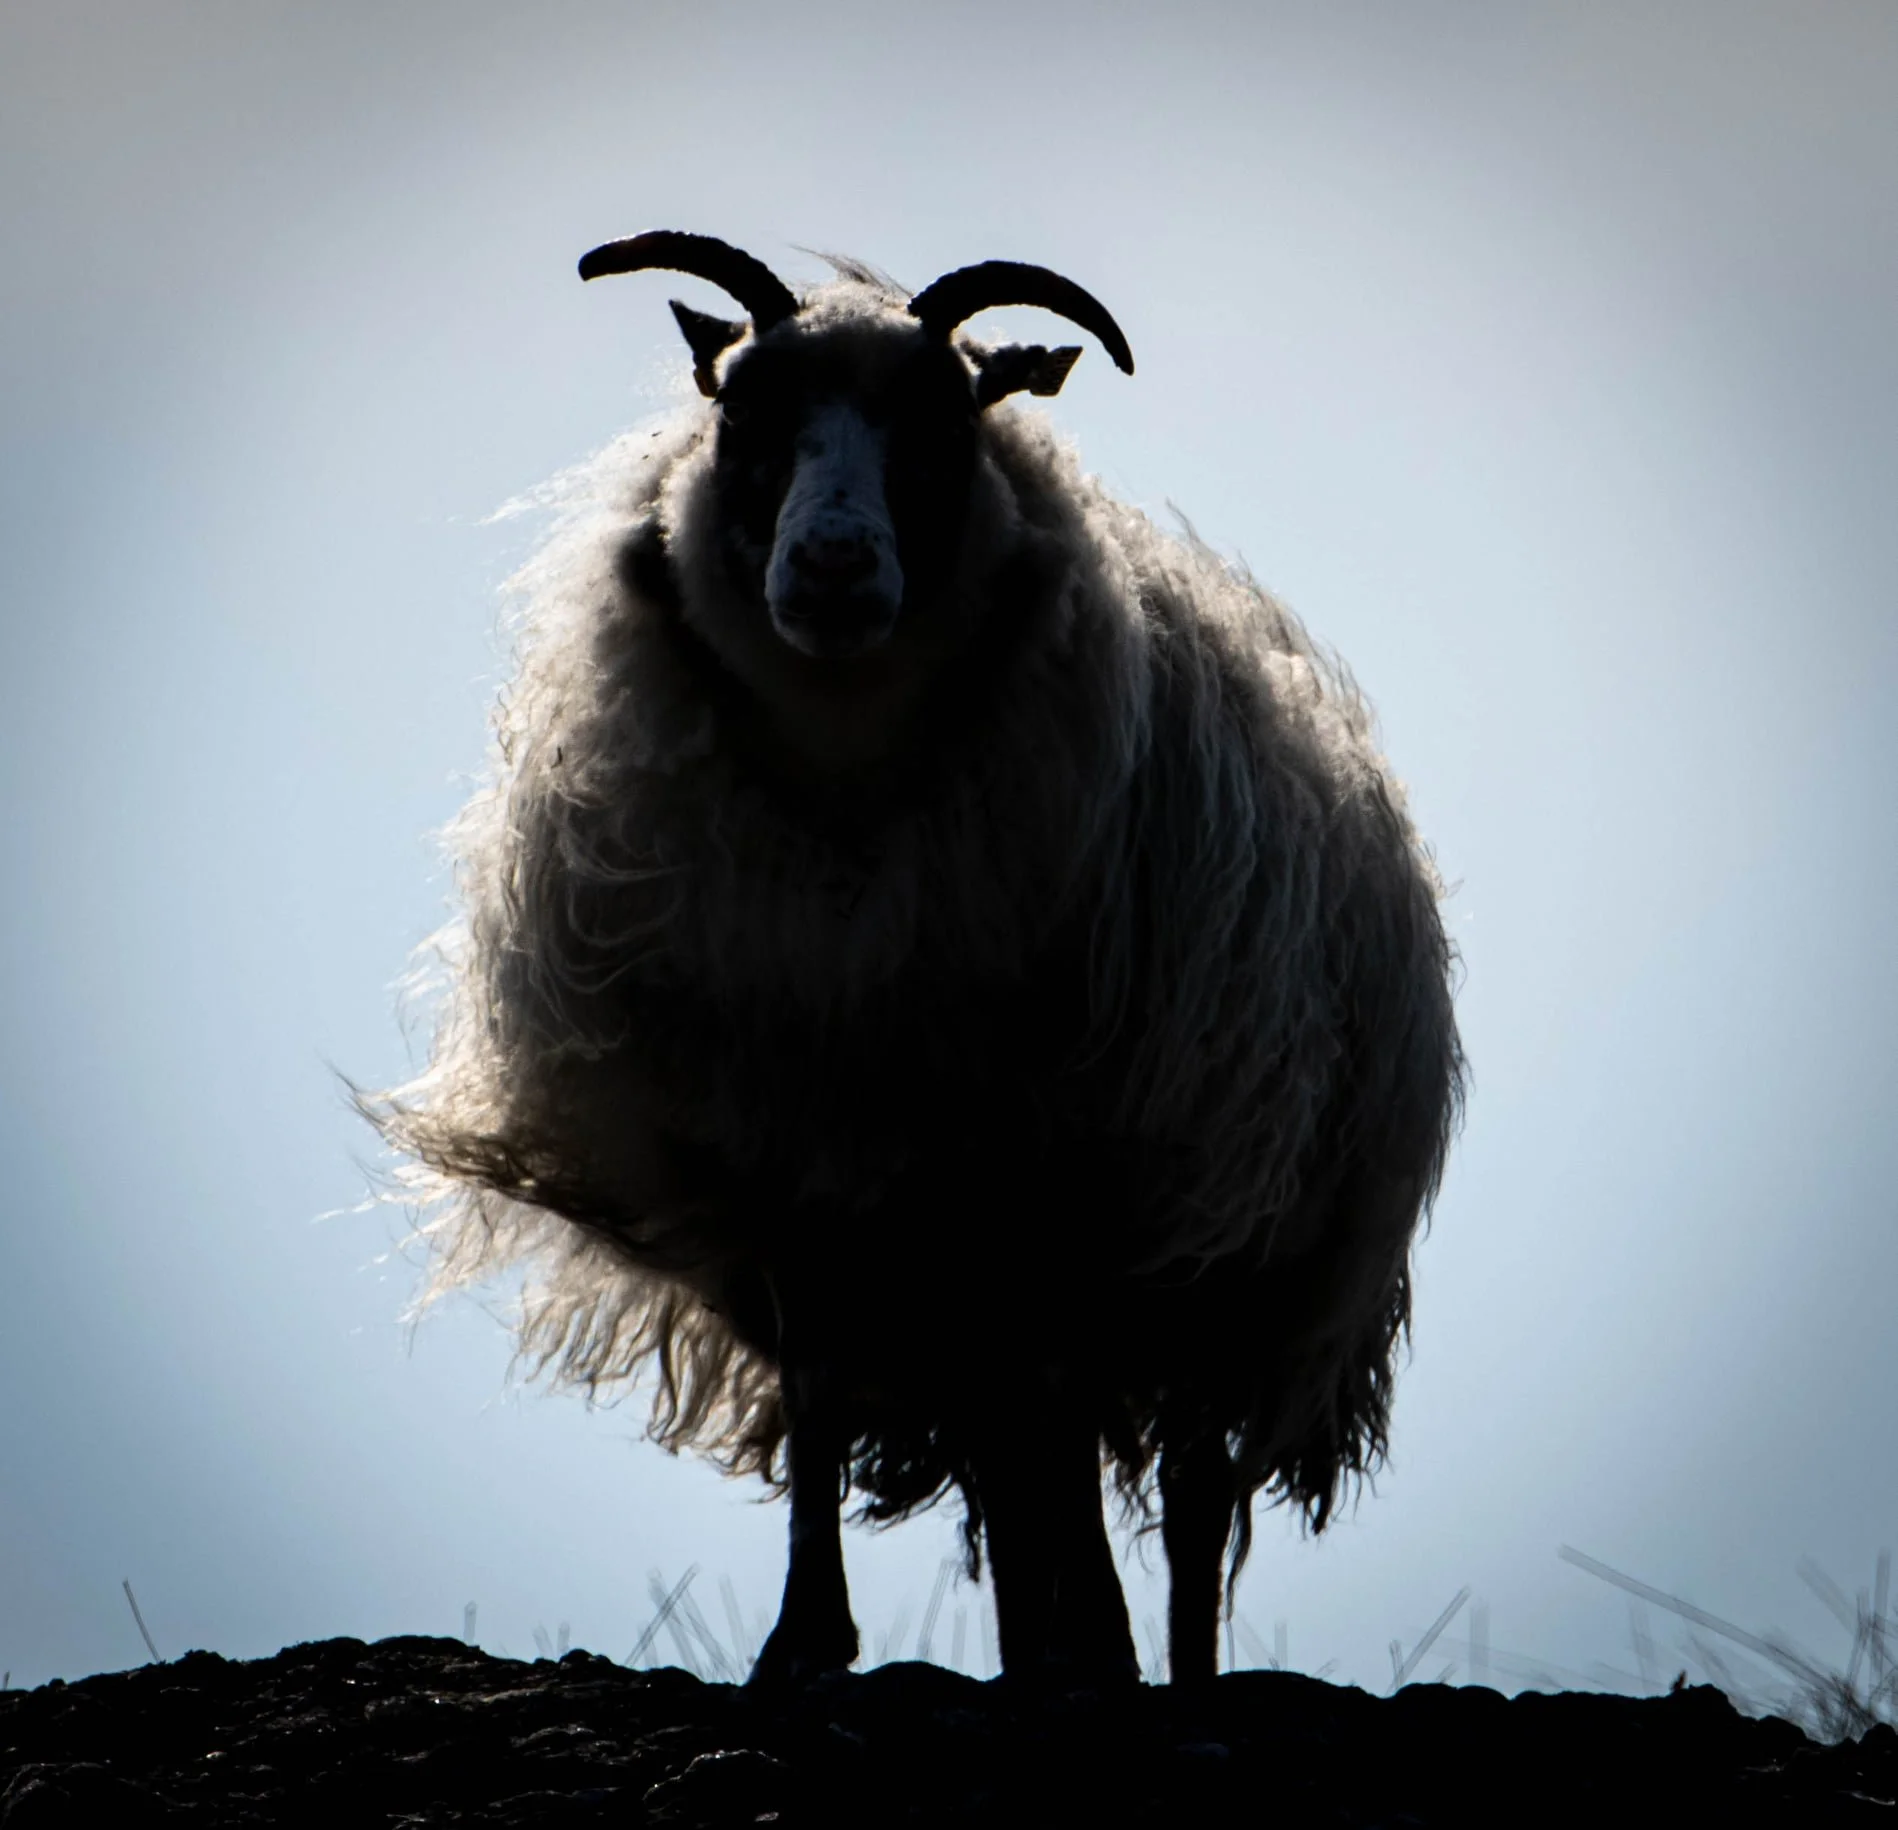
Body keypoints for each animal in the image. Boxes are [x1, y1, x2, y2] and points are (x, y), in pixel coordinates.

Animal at [366, 230, 1464, 1688]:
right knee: (1031, 1452)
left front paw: (1075, 1646)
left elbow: (1057, 1435)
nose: (831, 567)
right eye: (742, 410)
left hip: (1219, 1243)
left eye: (947, 417)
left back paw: (1159, 1664)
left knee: (1177, 1488)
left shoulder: (1042, 1172)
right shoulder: (803, 1169)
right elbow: (831, 1395)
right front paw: (807, 1640)